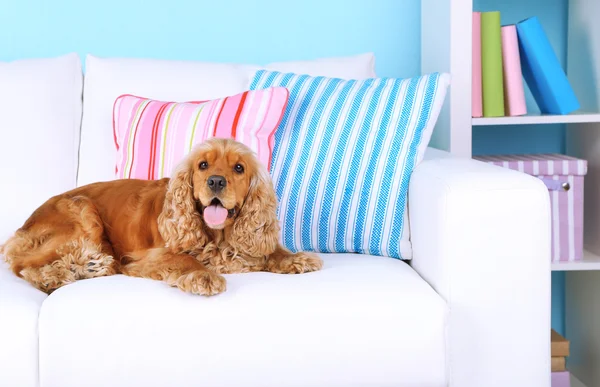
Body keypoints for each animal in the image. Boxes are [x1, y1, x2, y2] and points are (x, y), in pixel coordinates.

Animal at [0, 138, 324, 296]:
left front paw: (296, 258)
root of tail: (23, 226)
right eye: (203, 165)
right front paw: (203, 275)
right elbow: (185, 259)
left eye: (239, 168)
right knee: (22, 265)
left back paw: (90, 267)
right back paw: (55, 278)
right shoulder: (148, 257)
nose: (216, 181)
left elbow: (271, 251)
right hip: (82, 214)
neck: (217, 236)